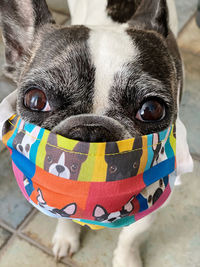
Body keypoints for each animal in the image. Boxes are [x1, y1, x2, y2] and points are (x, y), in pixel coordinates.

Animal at [0, 0, 194, 267]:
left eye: (152, 110)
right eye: (36, 99)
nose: (91, 130)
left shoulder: (158, 192)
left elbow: (132, 234)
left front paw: (126, 259)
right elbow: (63, 213)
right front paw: (66, 237)